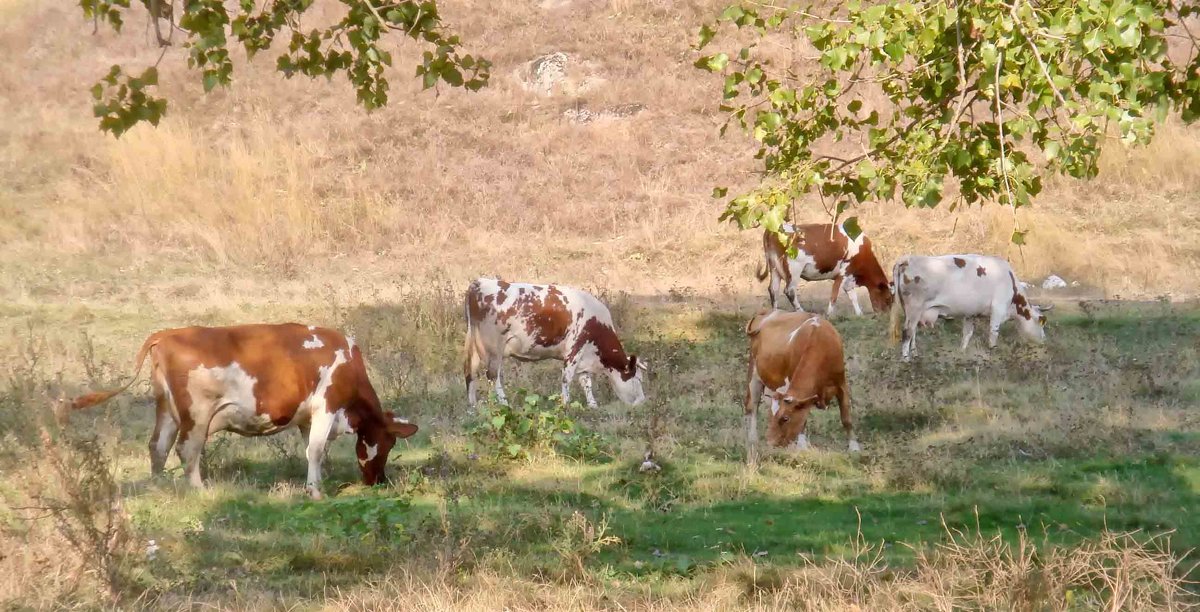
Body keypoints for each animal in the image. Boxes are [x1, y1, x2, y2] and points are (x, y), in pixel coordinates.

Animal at [460, 279, 648, 408]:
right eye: (638, 379)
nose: (642, 402)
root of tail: (479, 283)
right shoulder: (575, 348)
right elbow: (567, 378)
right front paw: (565, 404)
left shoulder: (584, 356)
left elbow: (586, 382)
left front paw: (593, 405)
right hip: (494, 347)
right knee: (493, 375)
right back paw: (504, 403)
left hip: (474, 343)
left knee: (470, 371)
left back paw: (472, 407)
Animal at [753, 222, 897, 314]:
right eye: (888, 299)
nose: (885, 315)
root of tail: (772, 230)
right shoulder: (844, 272)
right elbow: (835, 295)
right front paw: (829, 315)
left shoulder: (849, 275)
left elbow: (852, 295)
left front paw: (859, 314)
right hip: (794, 269)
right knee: (789, 291)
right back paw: (801, 312)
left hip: (774, 268)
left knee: (773, 290)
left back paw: (774, 314)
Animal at [892, 254, 1051, 360]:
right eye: (1042, 323)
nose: (1044, 340)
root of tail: (907, 259)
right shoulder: (998, 309)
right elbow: (993, 334)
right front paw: (993, 352)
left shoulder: (970, 314)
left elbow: (967, 335)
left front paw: (962, 352)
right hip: (914, 307)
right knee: (907, 332)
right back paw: (906, 360)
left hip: (912, 311)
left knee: (913, 332)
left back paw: (915, 354)